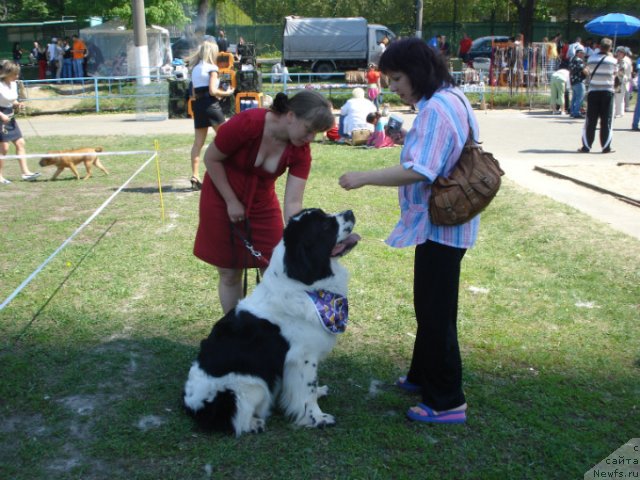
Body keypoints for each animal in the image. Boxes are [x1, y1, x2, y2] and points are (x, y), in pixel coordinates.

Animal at [182, 207, 360, 436]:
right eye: (325, 225)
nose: (350, 211)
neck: (305, 287)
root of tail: (192, 406)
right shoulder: (303, 358)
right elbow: (308, 390)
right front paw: (318, 418)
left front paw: (317, 394)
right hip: (251, 385)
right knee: (236, 419)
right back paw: (254, 424)